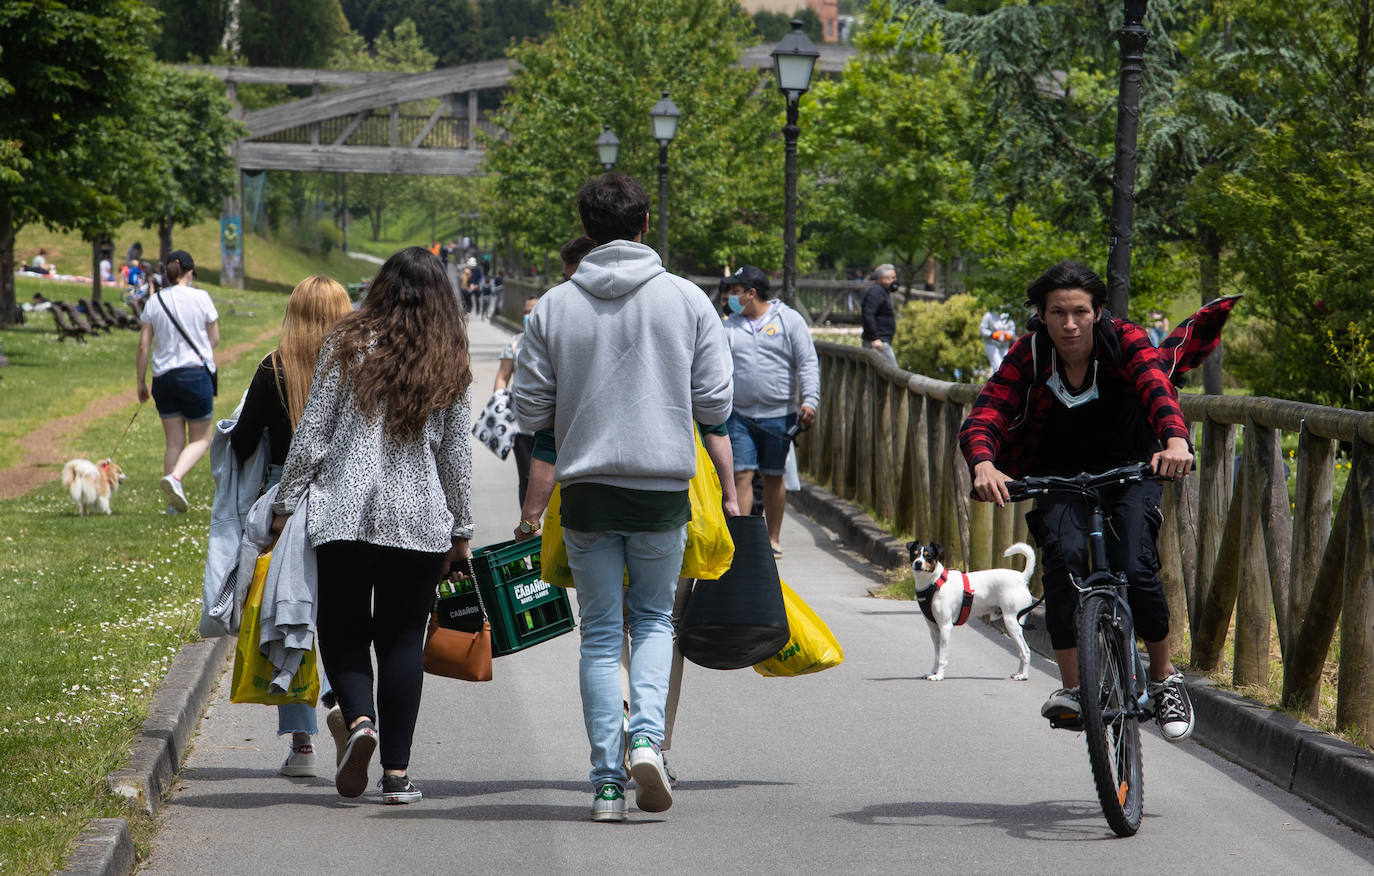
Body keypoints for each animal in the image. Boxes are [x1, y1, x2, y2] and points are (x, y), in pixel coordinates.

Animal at [906, 546, 1044, 683]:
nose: (918, 563)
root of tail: (1022, 577)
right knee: (1021, 651)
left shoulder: (945, 627)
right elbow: (937, 656)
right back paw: (1019, 673)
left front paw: (939, 675)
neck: (935, 582)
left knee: (1025, 651)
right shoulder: (934, 630)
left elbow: (942, 658)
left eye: (928, 556)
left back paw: (1023, 675)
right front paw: (932, 672)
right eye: (914, 554)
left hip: (1012, 623)